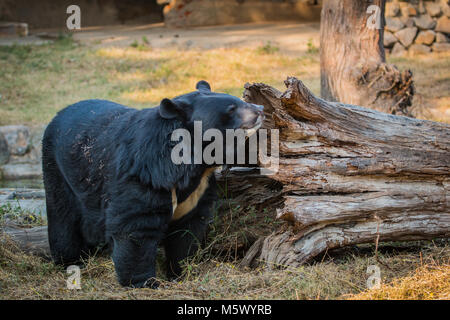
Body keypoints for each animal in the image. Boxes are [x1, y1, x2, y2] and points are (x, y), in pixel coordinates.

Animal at [42, 80, 264, 288]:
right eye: (231, 108)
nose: (260, 109)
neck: (197, 163)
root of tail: (59, 114)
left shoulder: (198, 191)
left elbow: (187, 230)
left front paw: (181, 273)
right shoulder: (145, 175)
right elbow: (137, 226)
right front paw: (145, 282)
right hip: (58, 170)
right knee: (63, 218)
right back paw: (71, 261)